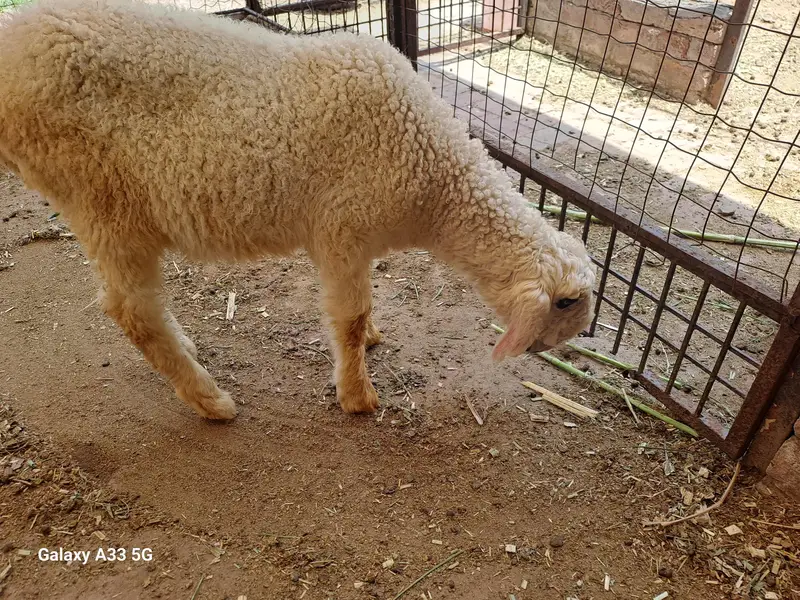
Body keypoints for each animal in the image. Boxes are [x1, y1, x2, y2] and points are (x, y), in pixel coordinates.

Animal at [0, 0, 596, 420]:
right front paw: (357, 395)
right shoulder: (341, 231)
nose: (548, 348)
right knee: (133, 311)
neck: (432, 177)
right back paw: (211, 402)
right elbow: (348, 320)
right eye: (566, 309)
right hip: (102, 200)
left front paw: (373, 341)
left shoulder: (355, 240)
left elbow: (361, 314)